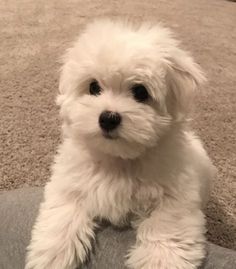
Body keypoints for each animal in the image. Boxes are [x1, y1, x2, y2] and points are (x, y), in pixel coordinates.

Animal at [25, 19, 216, 268]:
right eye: (94, 87)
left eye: (140, 92)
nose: (108, 118)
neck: (118, 159)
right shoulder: (69, 182)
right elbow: (64, 212)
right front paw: (53, 254)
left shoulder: (177, 195)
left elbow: (166, 223)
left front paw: (159, 259)